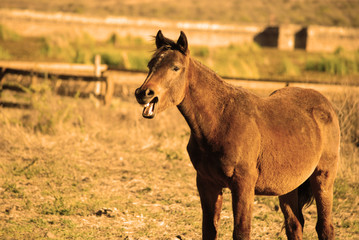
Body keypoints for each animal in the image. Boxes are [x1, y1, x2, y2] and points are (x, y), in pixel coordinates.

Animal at [134, 30, 340, 240]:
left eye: (175, 67)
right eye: (150, 65)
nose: (144, 93)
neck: (220, 121)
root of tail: (325, 104)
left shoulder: (243, 185)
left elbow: (241, 232)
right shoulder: (207, 183)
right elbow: (209, 229)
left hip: (323, 177)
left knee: (325, 227)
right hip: (289, 186)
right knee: (294, 224)